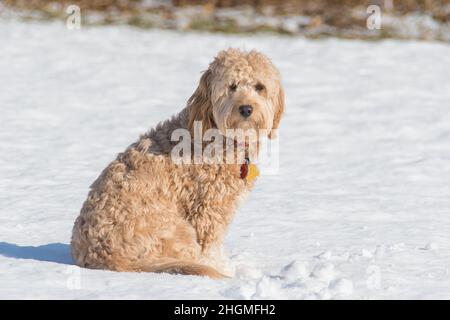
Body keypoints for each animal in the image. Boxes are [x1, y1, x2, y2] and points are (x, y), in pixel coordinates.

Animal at [72, 47, 286, 278]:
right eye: (232, 86)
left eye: (259, 87)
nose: (246, 109)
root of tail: (102, 257)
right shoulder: (208, 208)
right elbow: (210, 246)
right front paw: (222, 268)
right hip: (176, 229)